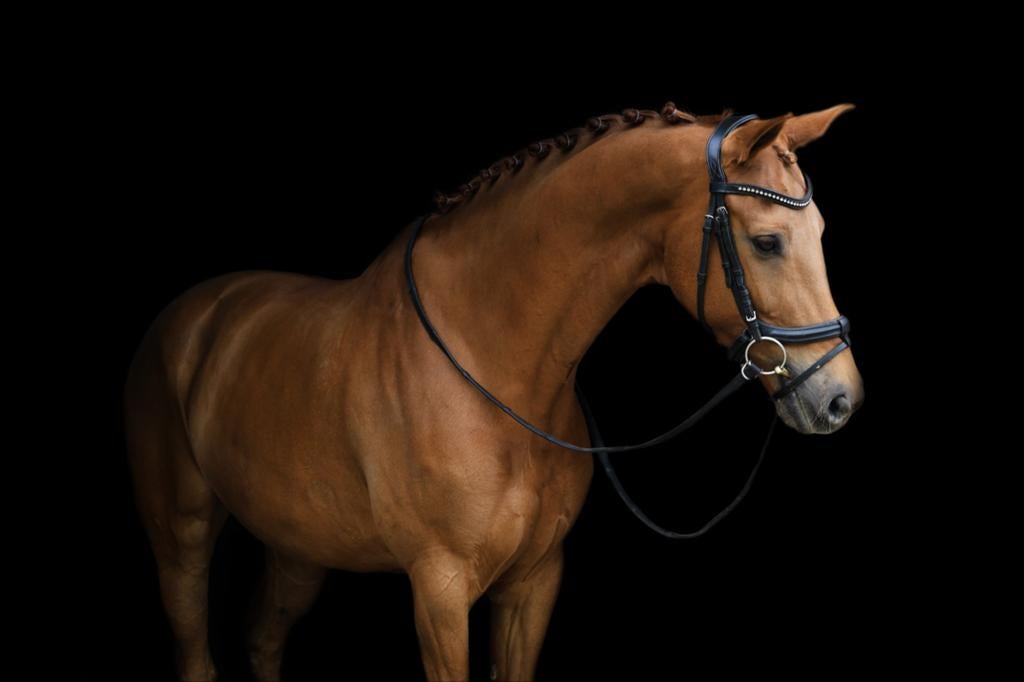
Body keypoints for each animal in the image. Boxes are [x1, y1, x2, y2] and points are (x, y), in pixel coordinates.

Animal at [124, 102, 863, 681]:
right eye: (766, 242)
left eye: (823, 234)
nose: (839, 398)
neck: (493, 364)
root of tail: (191, 317)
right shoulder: (441, 590)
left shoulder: (533, 583)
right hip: (181, 536)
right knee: (196, 648)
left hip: (298, 547)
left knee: (263, 642)